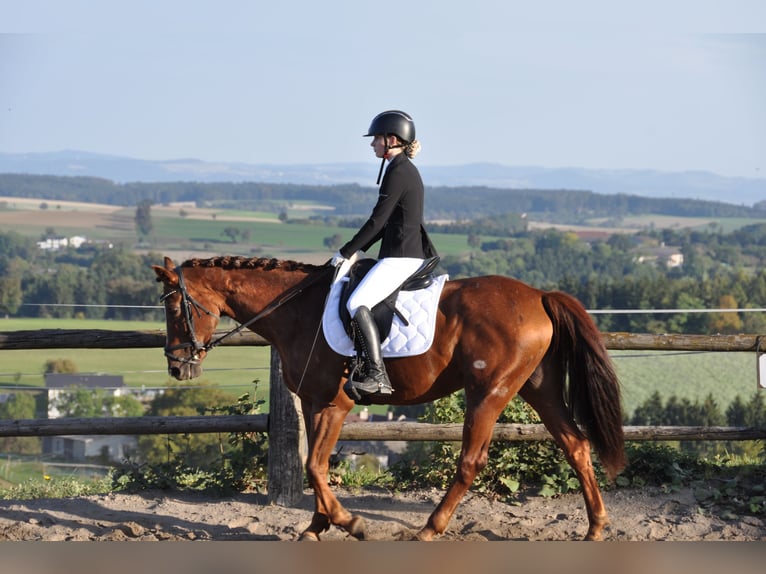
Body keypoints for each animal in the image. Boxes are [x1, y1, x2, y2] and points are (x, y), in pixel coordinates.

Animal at [152, 254, 625, 541]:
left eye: (174, 309)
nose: (177, 366)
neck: (297, 312)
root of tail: (540, 296)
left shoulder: (336, 404)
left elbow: (314, 466)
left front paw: (351, 523)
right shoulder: (313, 402)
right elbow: (315, 466)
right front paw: (317, 525)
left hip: (489, 392)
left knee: (471, 461)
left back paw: (430, 528)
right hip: (538, 387)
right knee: (576, 445)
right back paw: (596, 526)